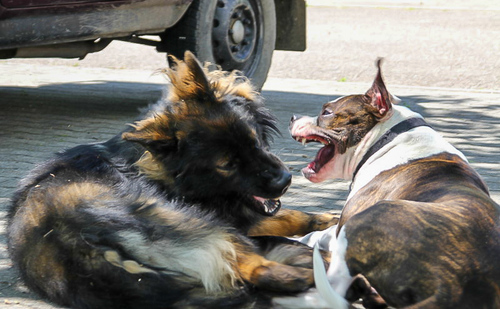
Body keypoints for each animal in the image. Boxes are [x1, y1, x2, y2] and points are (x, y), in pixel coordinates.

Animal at [7, 51, 336, 306]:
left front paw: (326, 218)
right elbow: (288, 217)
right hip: (199, 223)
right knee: (264, 268)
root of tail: (74, 243)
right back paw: (326, 265)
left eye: (253, 139)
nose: (285, 180)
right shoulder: (231, 218)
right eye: (227, 165)